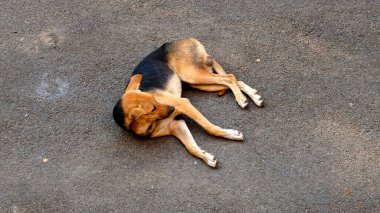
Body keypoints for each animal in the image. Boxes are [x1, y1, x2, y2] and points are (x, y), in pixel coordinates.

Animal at [111, 38, 262, 168]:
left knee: (229, 77)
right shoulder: (177, 125)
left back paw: (242, 99)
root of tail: (186, 39)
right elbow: (191, 148)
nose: (172, 109)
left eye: (154, 100)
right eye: (152, 108)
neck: (150, 124)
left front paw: (231, 134)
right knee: (232, 80)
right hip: (198, 83)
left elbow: (209, 127)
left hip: (192, 75)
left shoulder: (184, 104)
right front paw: (206, 157)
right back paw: (253, 96)